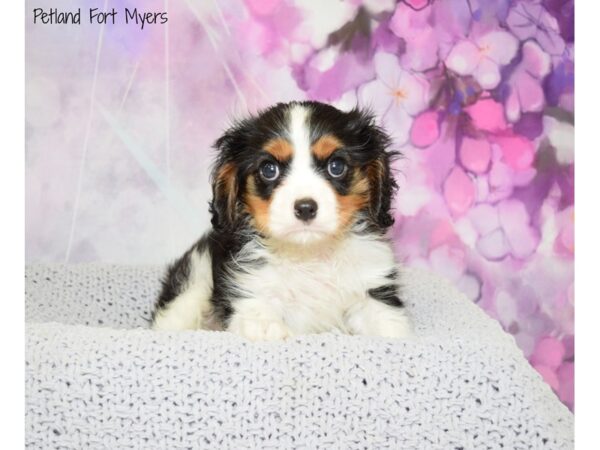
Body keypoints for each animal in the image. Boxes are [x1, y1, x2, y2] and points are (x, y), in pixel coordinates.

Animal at [151, 101, 412, 342]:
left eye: (336, 166)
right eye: (269, 169)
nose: (305, 208)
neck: (309, 254)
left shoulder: (372, 289)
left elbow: (389, 326)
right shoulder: (251, 288)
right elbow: (261, 322)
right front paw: (270, 330)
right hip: (193, 280)